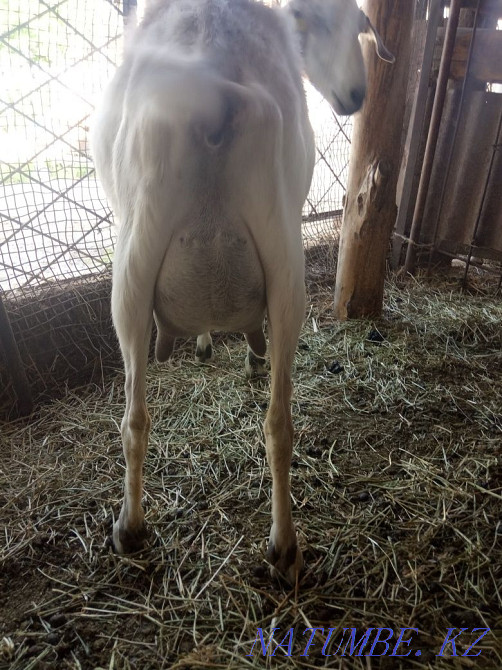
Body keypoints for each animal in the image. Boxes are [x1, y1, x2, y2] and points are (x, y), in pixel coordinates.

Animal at [92, 0, 393, 583]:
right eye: (323, 23)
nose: (355, 98)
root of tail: (214, 78)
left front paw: (213, 345)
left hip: (134, 258)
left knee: (136, 418)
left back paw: (131, 528)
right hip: (280, 260)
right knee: (276, 422)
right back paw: (283, 545)